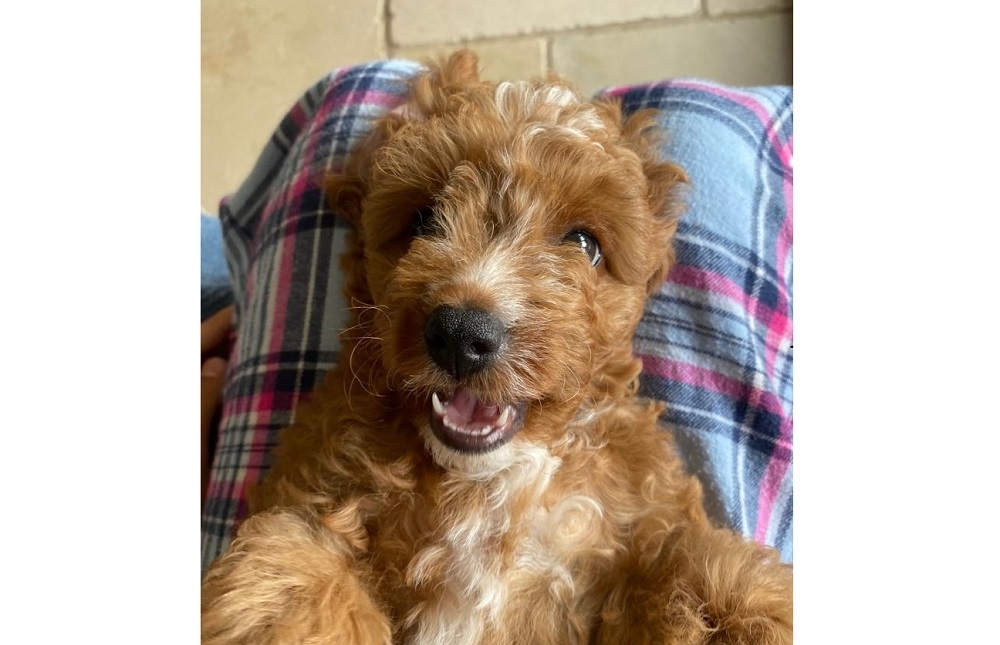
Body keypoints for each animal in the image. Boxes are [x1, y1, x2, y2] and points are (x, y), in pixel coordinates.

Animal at [203, 51, 792, 644]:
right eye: (424, 219)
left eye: (584, 243)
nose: (461, 334)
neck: (486, 482)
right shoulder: (316, 491)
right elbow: (298, 572)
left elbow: (693, 576)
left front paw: (744, 613)